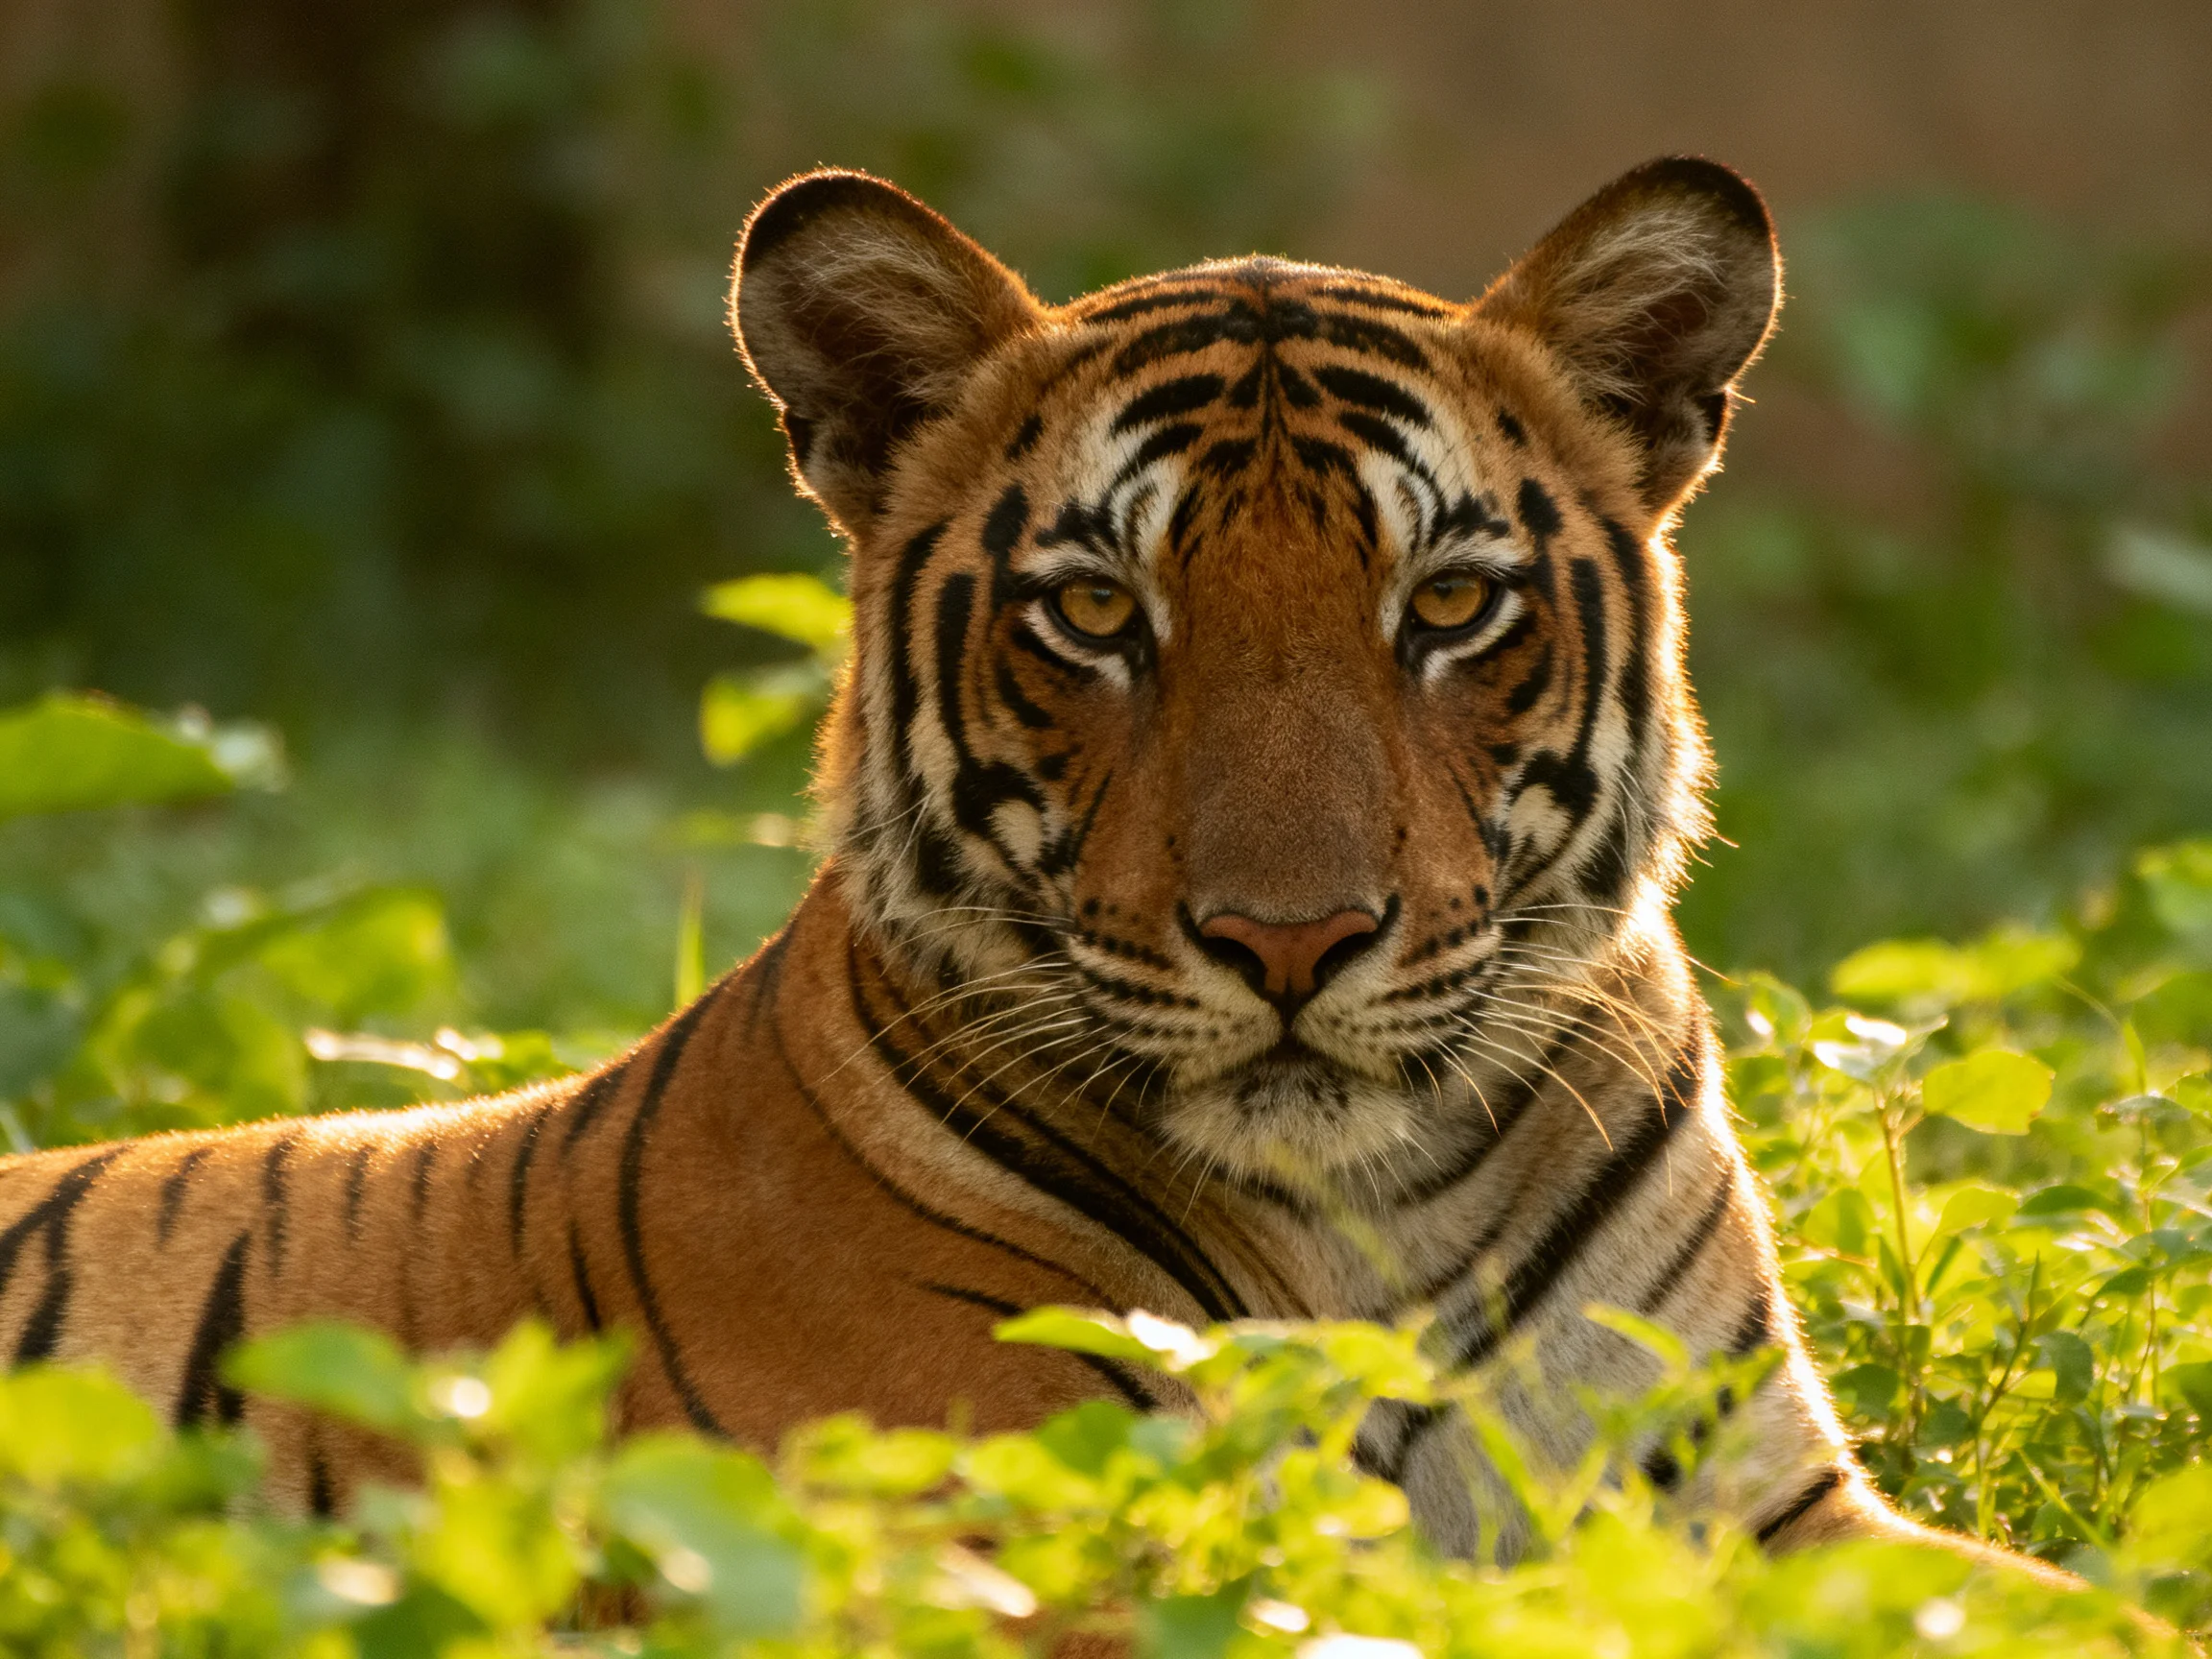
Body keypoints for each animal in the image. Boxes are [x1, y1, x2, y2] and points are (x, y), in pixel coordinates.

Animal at [0, 157, 2067, 1581]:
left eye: (1446, 605)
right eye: (1093, 613)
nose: (1291, 941)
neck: (1373, 1219)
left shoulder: (1769, 1518)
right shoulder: (998, 1532)